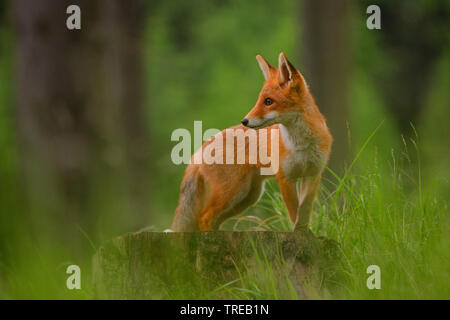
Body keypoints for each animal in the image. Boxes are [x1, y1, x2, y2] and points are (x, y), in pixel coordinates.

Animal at [169, 53, 330, 232]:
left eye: (268, 101)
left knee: (213, 220)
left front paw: (306, 234)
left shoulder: (313, 175)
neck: (302, 145)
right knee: (204, 218)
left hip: (247, 196)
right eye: (260, 100)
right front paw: (299, 235)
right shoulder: (285, 178)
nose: (244, 121)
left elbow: (304, 213)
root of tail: (201, 148)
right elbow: (295, 213)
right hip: (232, 191)